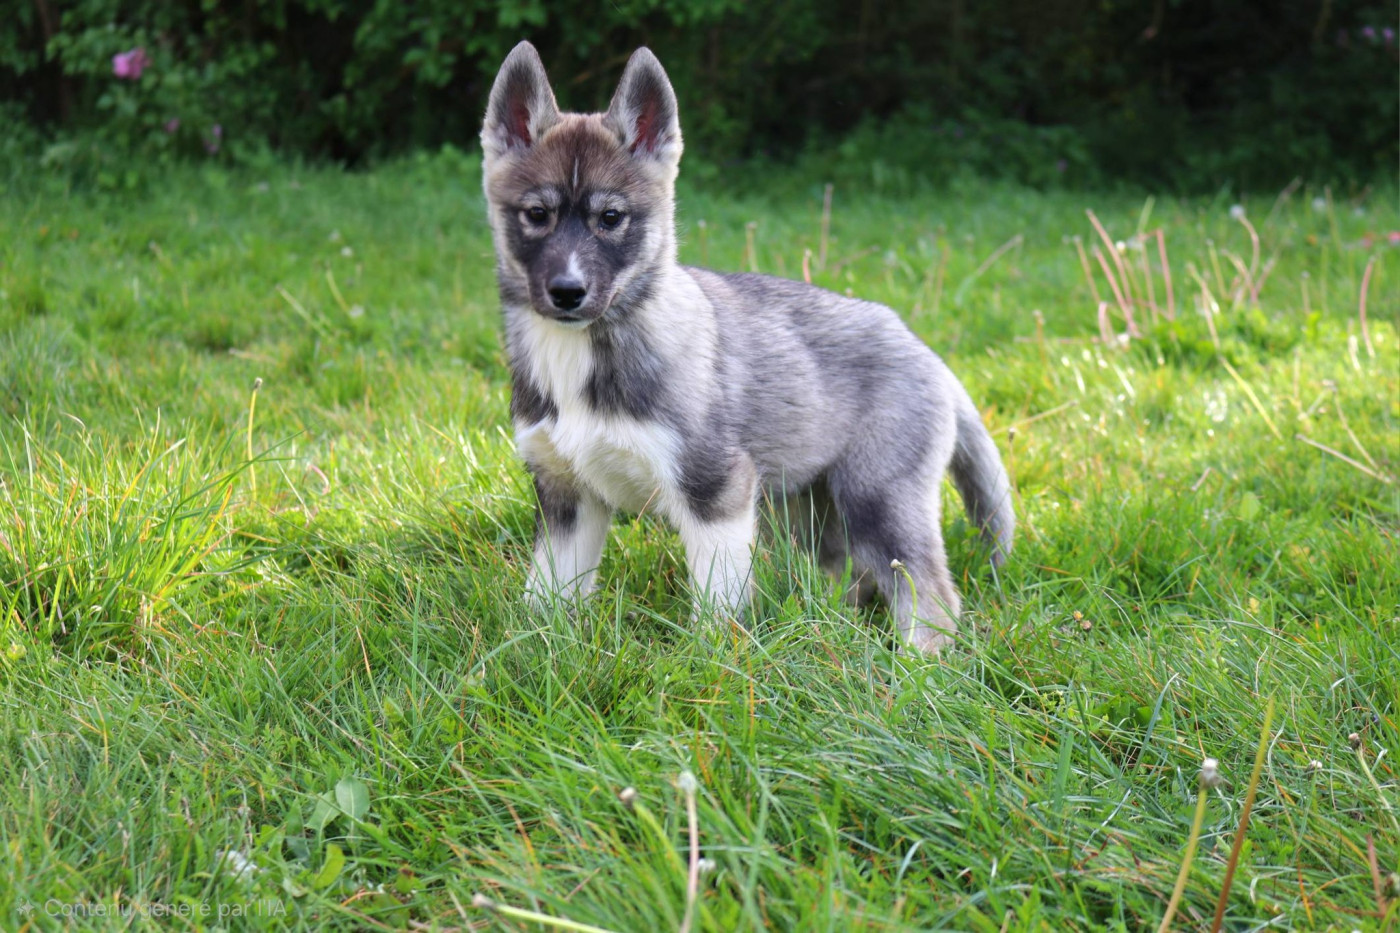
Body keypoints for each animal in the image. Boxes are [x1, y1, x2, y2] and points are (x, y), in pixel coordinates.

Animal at [480, 42, 1014, 653]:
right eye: (536, 215)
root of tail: (929, 354)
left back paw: (915, 663)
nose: (567, 292)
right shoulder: (568, 496)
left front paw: (710, 661)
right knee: (849, 573)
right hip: (805, 508)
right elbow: (548, 592)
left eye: (610, 218)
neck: (584, 355)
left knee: (930, 592)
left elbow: (717, 603)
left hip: (877, 499)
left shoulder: (715, 489)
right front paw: (532, 649)